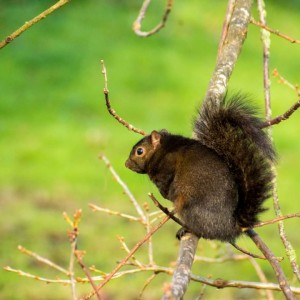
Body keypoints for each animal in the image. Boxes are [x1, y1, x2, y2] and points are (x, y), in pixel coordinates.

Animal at [124, 95, 274, 243]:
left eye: (139, 151)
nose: (126, 164)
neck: (163, 150)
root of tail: (230, 226)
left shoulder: (168, 166)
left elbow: (166, 183)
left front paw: (166, 194)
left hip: (190, 206)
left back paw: (185, 229)